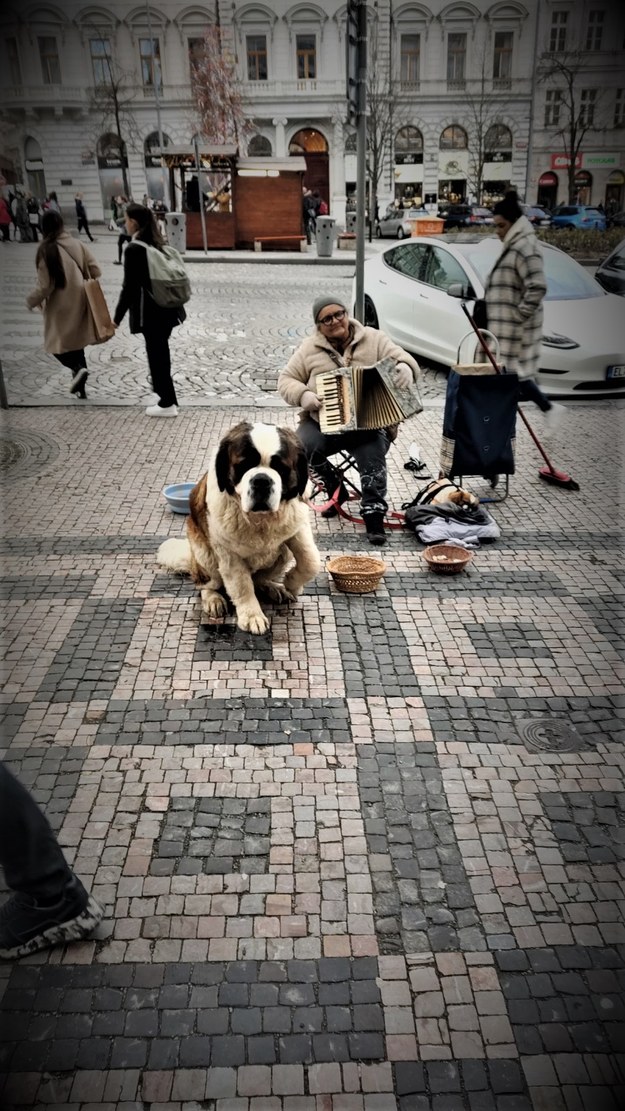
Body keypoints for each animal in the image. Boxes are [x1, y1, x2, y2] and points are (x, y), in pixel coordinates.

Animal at [156, 419, 321, 635]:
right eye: (243, 465)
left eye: (280, 468)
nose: (261, 480)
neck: (260, 520)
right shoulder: (228, 553)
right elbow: (241, 585)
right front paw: (252, 616)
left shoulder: (296, 526)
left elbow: (311, 560)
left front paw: (292, 584)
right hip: (204, 556)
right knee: (206, 585)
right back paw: (213, 599)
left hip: (282, 554)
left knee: (259, 579)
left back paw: (273, 587)